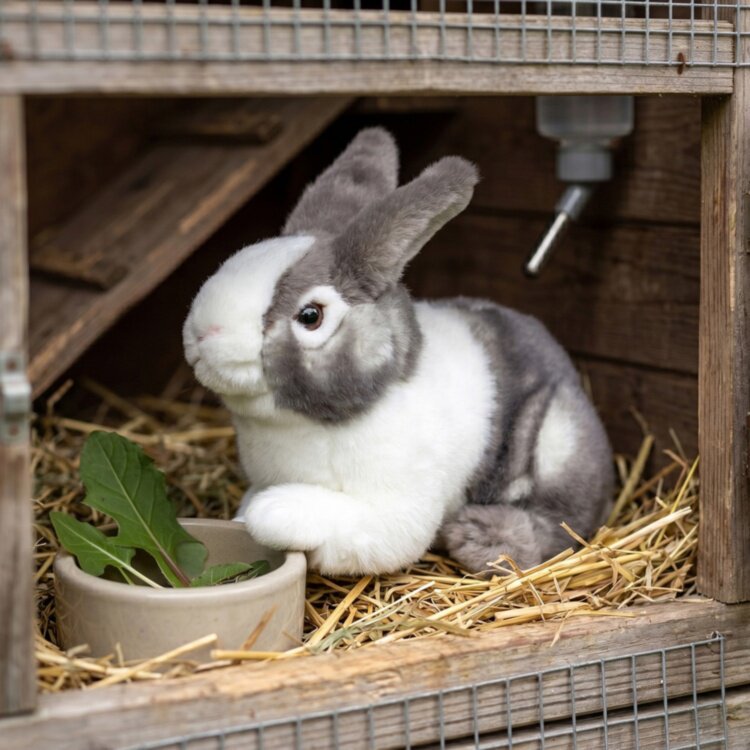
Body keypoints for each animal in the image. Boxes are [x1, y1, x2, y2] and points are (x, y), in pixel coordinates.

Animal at [183, 127, 614, 576]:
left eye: (310, 315)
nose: (202, 333)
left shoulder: (390, 510)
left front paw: (269, 512)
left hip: (558, 440)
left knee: (558, 525)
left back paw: (484, 537)